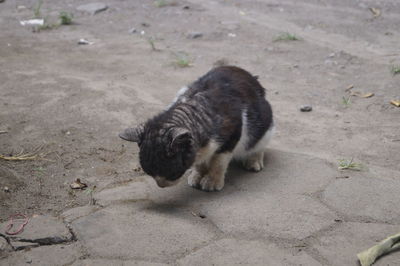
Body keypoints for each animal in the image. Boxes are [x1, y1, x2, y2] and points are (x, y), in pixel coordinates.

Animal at [119, 66, 274, 191]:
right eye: (149, 172)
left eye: (172, 172)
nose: (161, 185)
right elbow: (200, 162)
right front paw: (196, 177)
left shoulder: (232, 136)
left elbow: (218, 162)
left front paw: (212, 182)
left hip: (265, 128)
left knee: (258, 147)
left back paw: (253, 163)